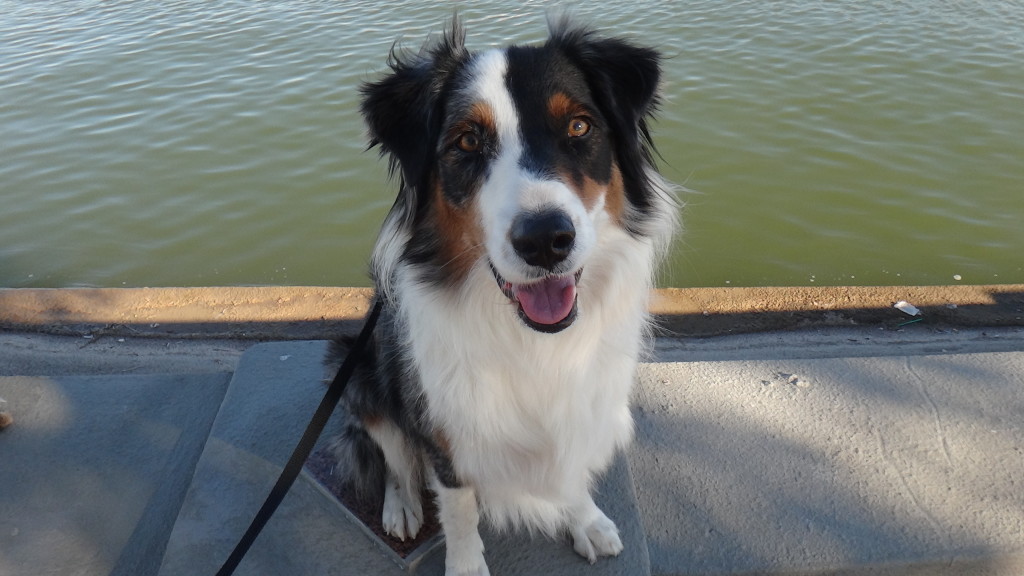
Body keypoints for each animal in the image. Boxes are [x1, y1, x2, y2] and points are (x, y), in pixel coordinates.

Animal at [329, 17, 679, 573]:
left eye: (579, 128)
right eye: (468, 141)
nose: (545, 240)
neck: (533, 339)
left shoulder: (583, 402)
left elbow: (571, 468)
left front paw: (585, 519)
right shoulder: (444, 431)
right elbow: (459, 509)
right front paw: (466, 565)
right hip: (363, 371)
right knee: (394, 457)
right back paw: (401, 506)